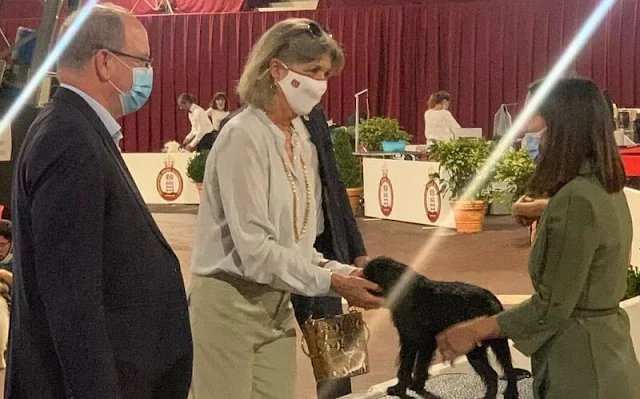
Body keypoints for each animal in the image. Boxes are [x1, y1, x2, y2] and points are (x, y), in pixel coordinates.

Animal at [362, 258, 516, 398]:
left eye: (369, 275)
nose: (359, 278)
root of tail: (492, 301)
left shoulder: (418, 342)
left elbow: (412, 367)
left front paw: (405, 388)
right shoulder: (416, 343)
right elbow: (412, 366)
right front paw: (409, 386)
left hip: (477, 350)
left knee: (495, 374)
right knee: (507, 370)